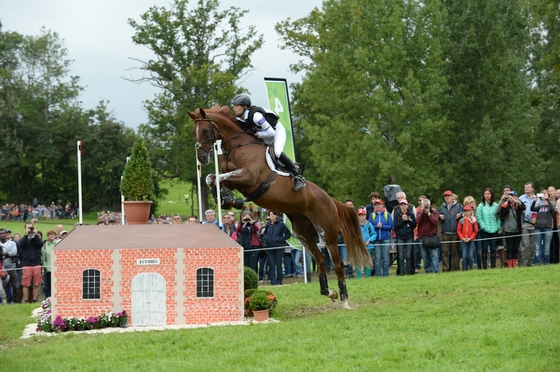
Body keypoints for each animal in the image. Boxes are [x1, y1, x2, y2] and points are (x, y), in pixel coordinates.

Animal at [189, 106, 372, 306]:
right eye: (194, 132)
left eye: (204, 130)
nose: (202, 158)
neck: (238, 145)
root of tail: (332, 200)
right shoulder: (235, 180)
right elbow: (212, 178)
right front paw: (228, 200)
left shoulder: (248, 176)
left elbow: (216, 177)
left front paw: (229, 199)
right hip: (304, 234)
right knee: (322, 259)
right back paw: (329, 292)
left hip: (327, 231)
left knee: (337, 263)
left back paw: (344, 299)